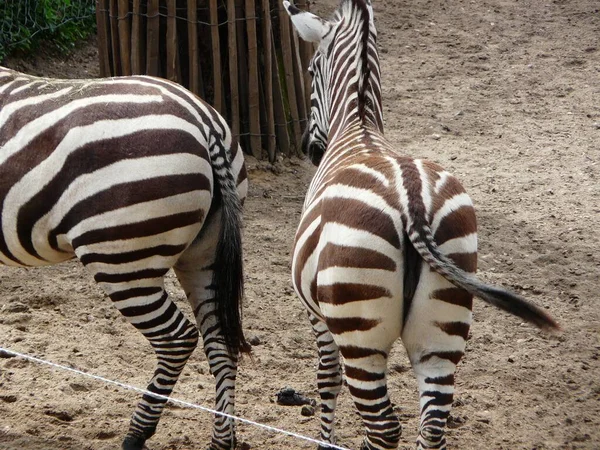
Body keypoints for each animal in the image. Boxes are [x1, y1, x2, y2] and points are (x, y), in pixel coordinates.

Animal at [0, 66, 248, 450]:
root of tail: (201, 118)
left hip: (122, 259)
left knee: (177, 339)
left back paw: (137, 433)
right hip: (205, 256)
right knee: (221, 340)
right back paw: (221, 439)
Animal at [284, 0, 560, 450]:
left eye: (310, 71)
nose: (310, 148)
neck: (359, 127)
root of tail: (411, 200)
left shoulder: (316, 314)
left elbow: (326, 379)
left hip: (359, 329)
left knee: (383, 426)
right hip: (443, 324)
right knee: (431, 429)